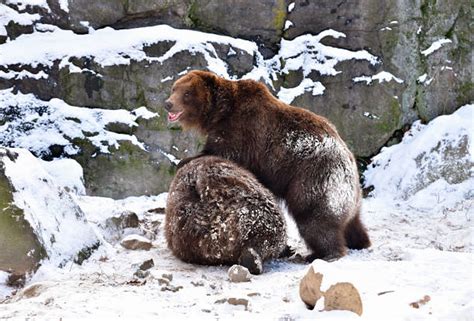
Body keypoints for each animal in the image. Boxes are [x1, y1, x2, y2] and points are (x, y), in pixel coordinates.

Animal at [165, 69, 372, 260]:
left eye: (187, 93)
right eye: (174, 88)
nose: (168, 103)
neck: (220, 113)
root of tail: (352, 166)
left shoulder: (243, 130)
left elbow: (224, 151)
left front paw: (184, 161)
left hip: (316, 176)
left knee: (314, 217)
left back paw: (321, 254)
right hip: (346, 197)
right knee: (352, 224)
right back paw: (358, 241)